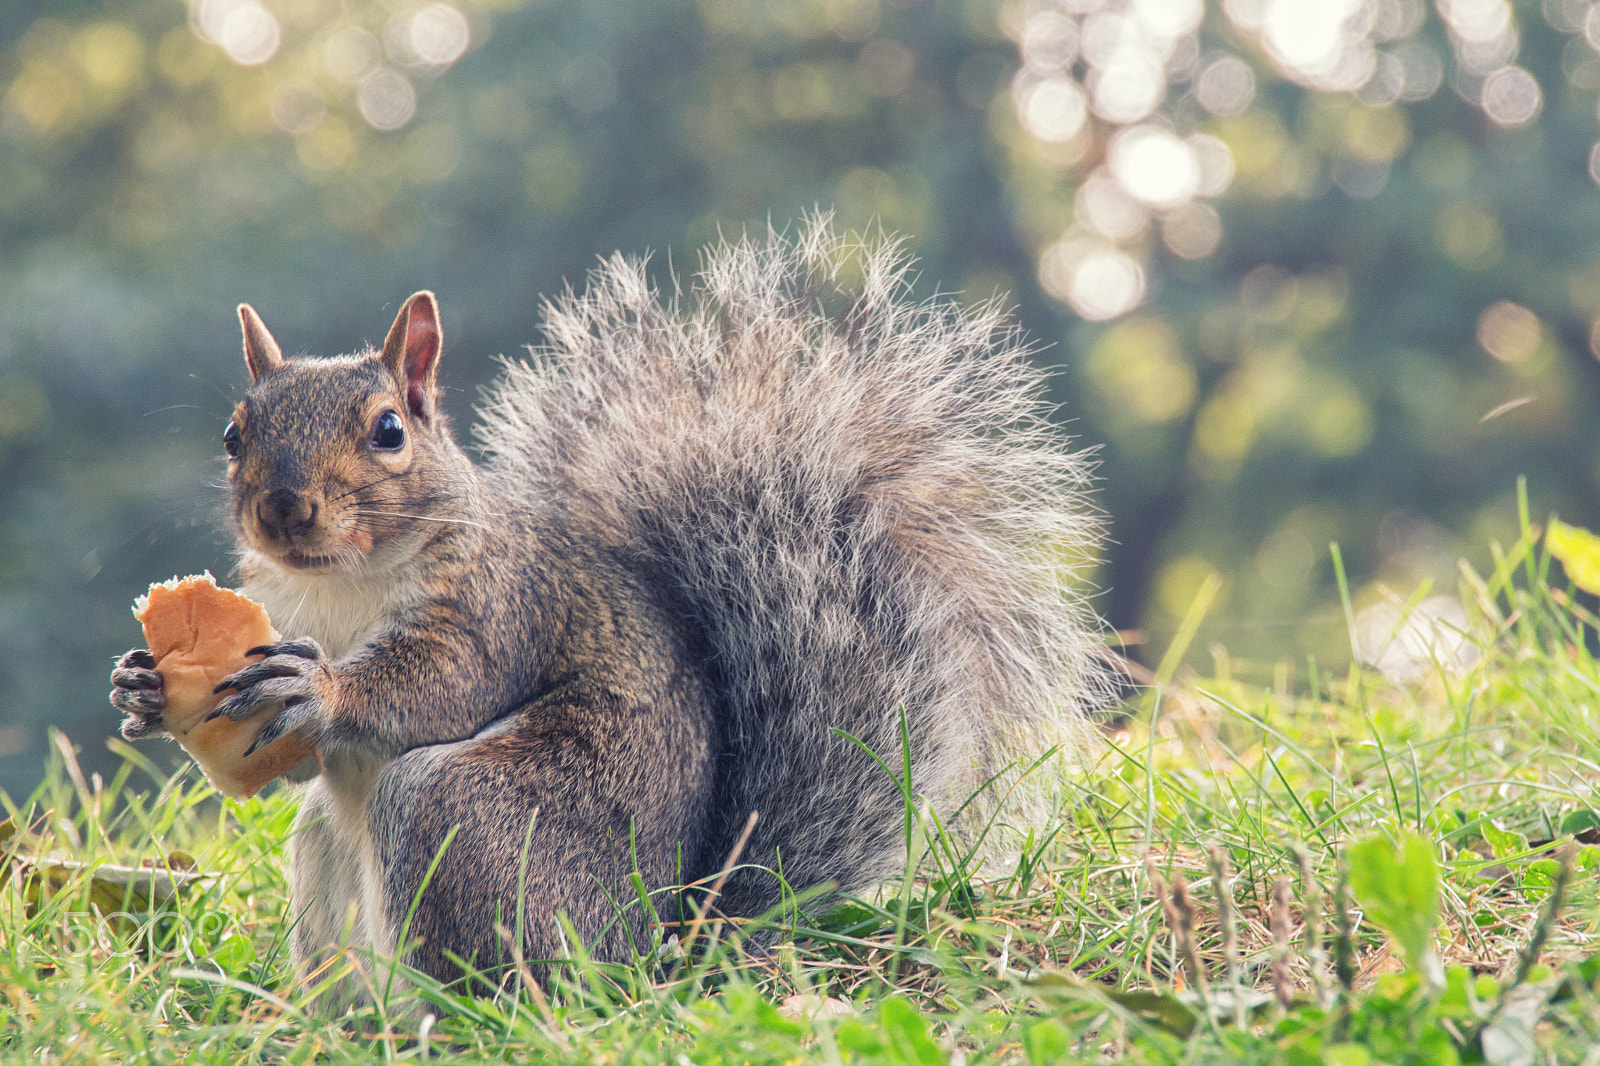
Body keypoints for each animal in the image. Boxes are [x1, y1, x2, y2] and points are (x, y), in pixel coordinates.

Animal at [110, 221, 1105, 998]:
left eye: (389, 430)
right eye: (234, 435)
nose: (282, 508)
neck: (342, 585)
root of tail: (655, 954)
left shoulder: (500, 604)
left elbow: (440, 684)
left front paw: (322, 691)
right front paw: (143, 690)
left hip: (464, 813)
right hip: (327, 850)